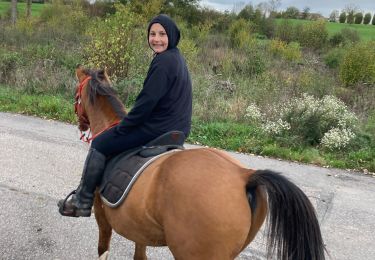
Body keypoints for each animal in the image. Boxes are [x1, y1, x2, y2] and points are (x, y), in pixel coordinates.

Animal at [73, 65, 326, 260]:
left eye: (76, 93)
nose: (81, 124)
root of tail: (245, 176)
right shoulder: (138, 227)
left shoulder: (102, 216)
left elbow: (103, 249)